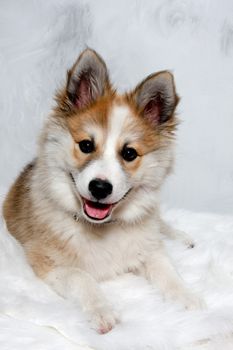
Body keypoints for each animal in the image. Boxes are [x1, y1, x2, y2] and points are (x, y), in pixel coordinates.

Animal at [2, 48, 201, 334]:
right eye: (86, 145)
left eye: (129, 153)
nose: (99, 187)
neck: (102, 228)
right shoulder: (45, 261)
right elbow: (81, 276)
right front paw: (102, 309)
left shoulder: (149, 250)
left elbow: (167, 271)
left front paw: (187, 297)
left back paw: (182, 237)